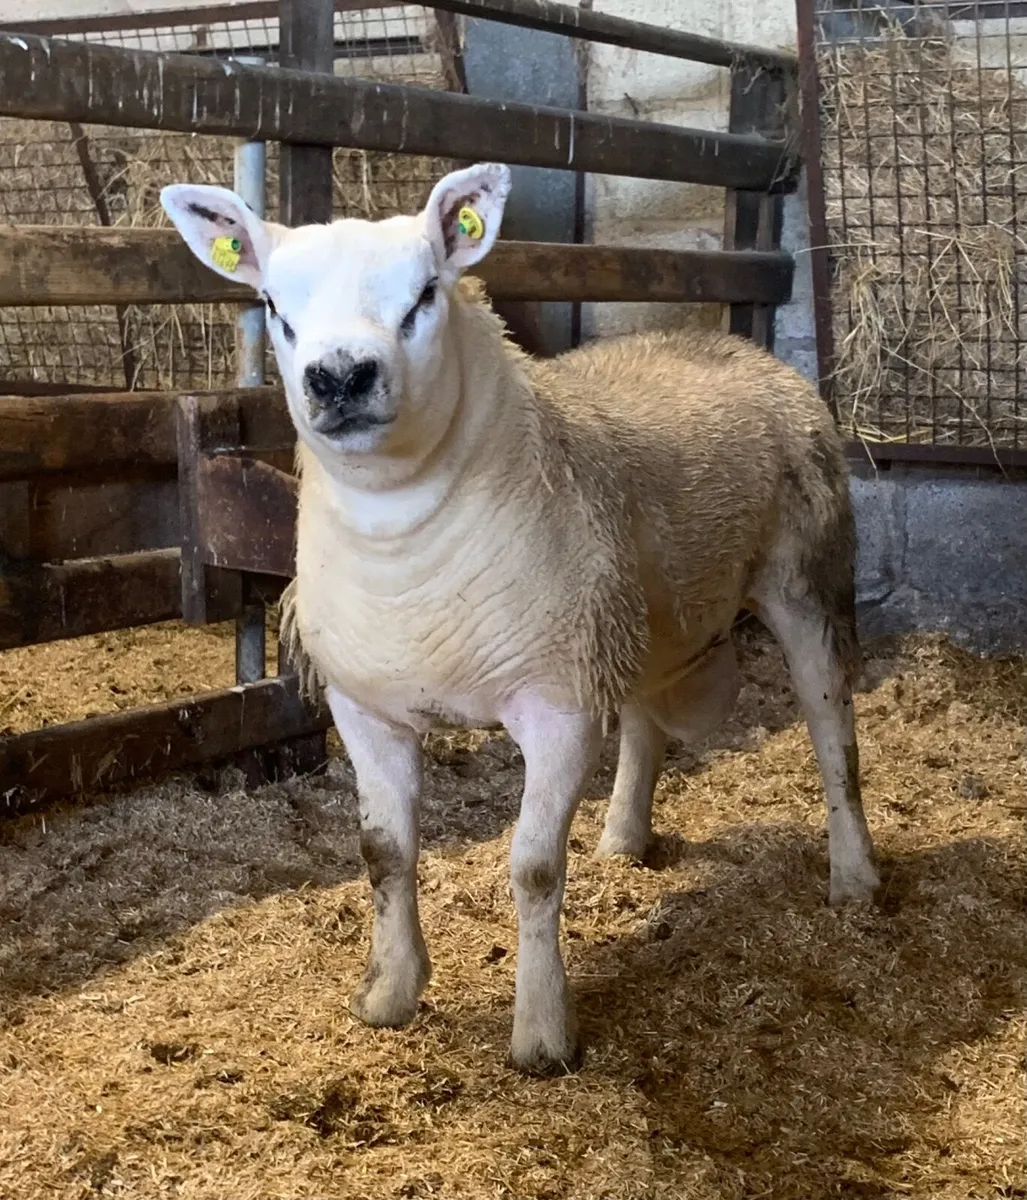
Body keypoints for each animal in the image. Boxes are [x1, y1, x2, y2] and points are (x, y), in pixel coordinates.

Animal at [161, 162, 879, 1075]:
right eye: (277, 311)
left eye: (424, 295)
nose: (340, 376)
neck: (405, 549)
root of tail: (733, 346)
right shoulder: (366, 709)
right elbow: (382, 853)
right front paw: (389, 996)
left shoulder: (556, 706)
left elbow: (534, 868)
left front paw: (541, 1035)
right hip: (630, 616)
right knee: (645, 725)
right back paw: (623, 839)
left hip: (806, 577)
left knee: (833, 735)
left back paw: (854, 877)